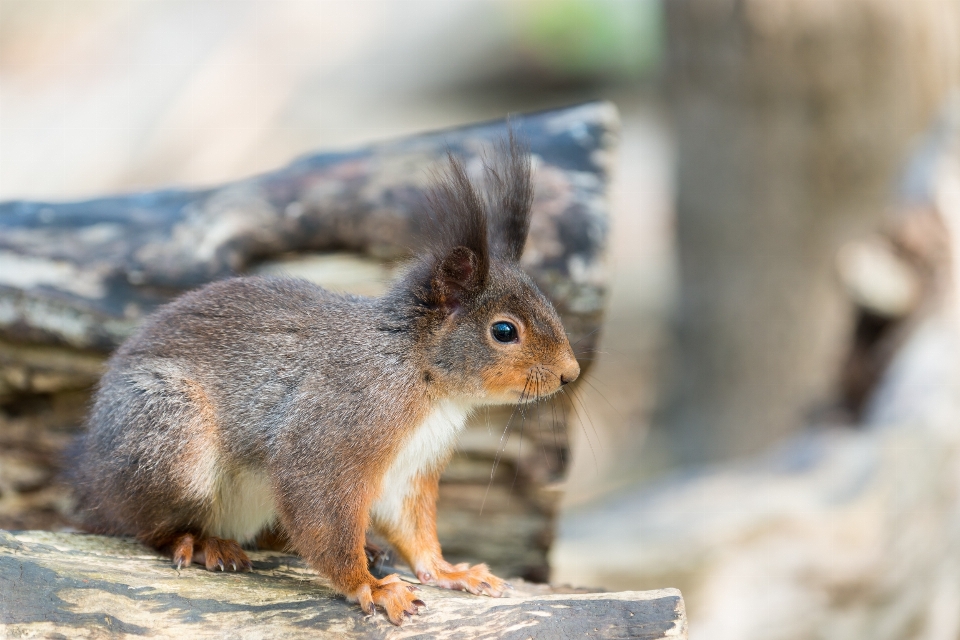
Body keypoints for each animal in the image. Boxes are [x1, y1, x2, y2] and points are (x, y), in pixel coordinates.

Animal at [69, 136, 576, 624]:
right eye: (504, 331)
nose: (569, 374)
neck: (422, 377)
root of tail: (92, 481)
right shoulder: (337, 427)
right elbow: (322, 513)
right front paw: (371, 587)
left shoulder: (413, 464)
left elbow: (413, 528)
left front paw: (450, 571)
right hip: (168, 435)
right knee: (146, 525)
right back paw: (200, 542)